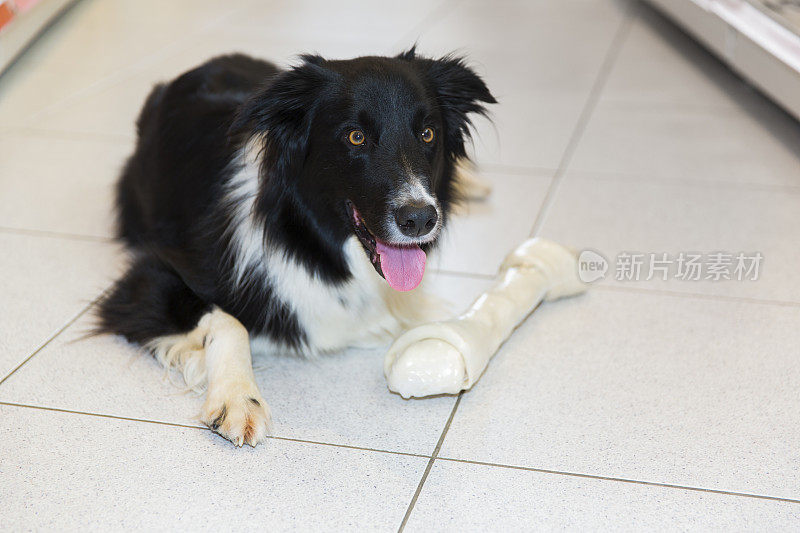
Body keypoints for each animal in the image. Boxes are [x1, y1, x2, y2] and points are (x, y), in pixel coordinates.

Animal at [94, 48, 494, 444]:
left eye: (427, 133)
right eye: (356, 137)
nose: (421, 219)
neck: (312, 242)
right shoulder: (149, 276)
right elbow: (229, 323)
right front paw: (237, 398)